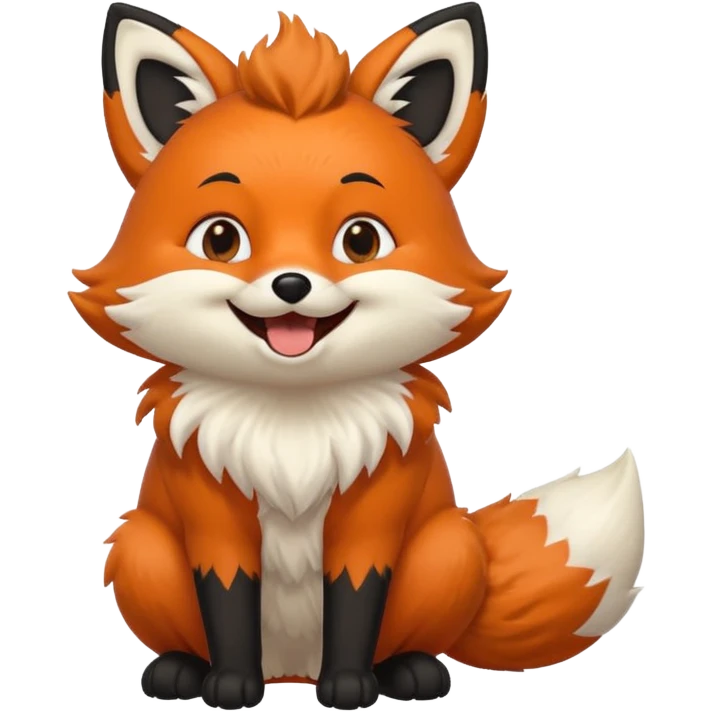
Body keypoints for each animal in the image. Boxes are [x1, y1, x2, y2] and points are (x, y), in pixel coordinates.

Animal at [76, 2, 648, 710]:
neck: (293, 424)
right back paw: (179, 670)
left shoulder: (374, 517)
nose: (291, 285)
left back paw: (408, 672)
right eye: (221, 239)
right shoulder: (213, 516)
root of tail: (289, 672)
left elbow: (355, 600)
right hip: (141, 545)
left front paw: (349, 687)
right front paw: (230, 686)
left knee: (409, 634)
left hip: (449, 548)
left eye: (360, 240)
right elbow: (229, 602)